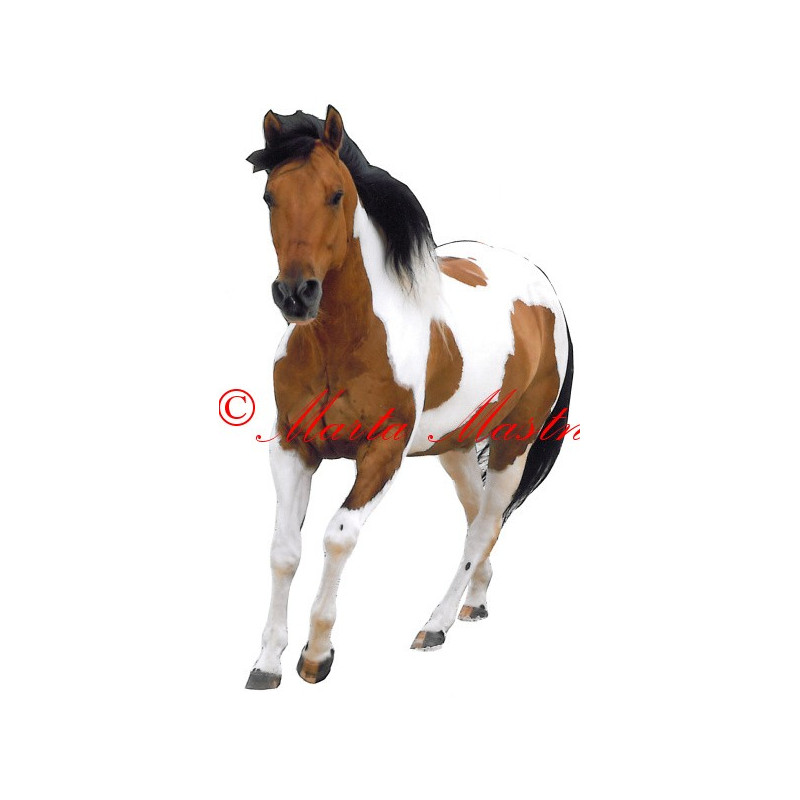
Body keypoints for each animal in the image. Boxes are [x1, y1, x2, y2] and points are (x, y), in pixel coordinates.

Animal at [244, 105, 574, 688]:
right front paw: (266, 663)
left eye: (336, 194)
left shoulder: (382, 453)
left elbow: (338, 535)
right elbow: (284, 550)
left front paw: (316, 655)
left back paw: (436, 625)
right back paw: (475, 600)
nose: (296, 294)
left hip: (514, 443)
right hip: (456, 447)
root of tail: (542, 287)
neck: (343, 343)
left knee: (485, 526)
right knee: (478, 518)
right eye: (269, 197)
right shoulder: (291, 447)